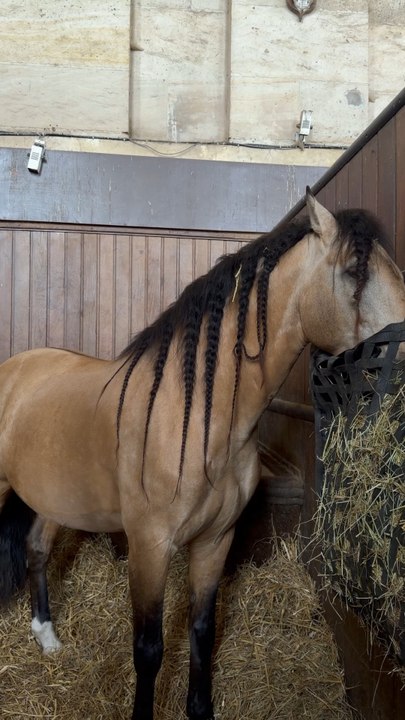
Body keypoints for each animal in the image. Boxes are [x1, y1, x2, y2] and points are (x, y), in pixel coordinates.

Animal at [0, 189, 404, 720]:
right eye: (356, 271)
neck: (197, 421)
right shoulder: (150, 547)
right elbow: (148, 648)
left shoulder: (215, 542)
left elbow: (201, 632)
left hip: (56, 498)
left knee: (37, 549)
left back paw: (47, 638)